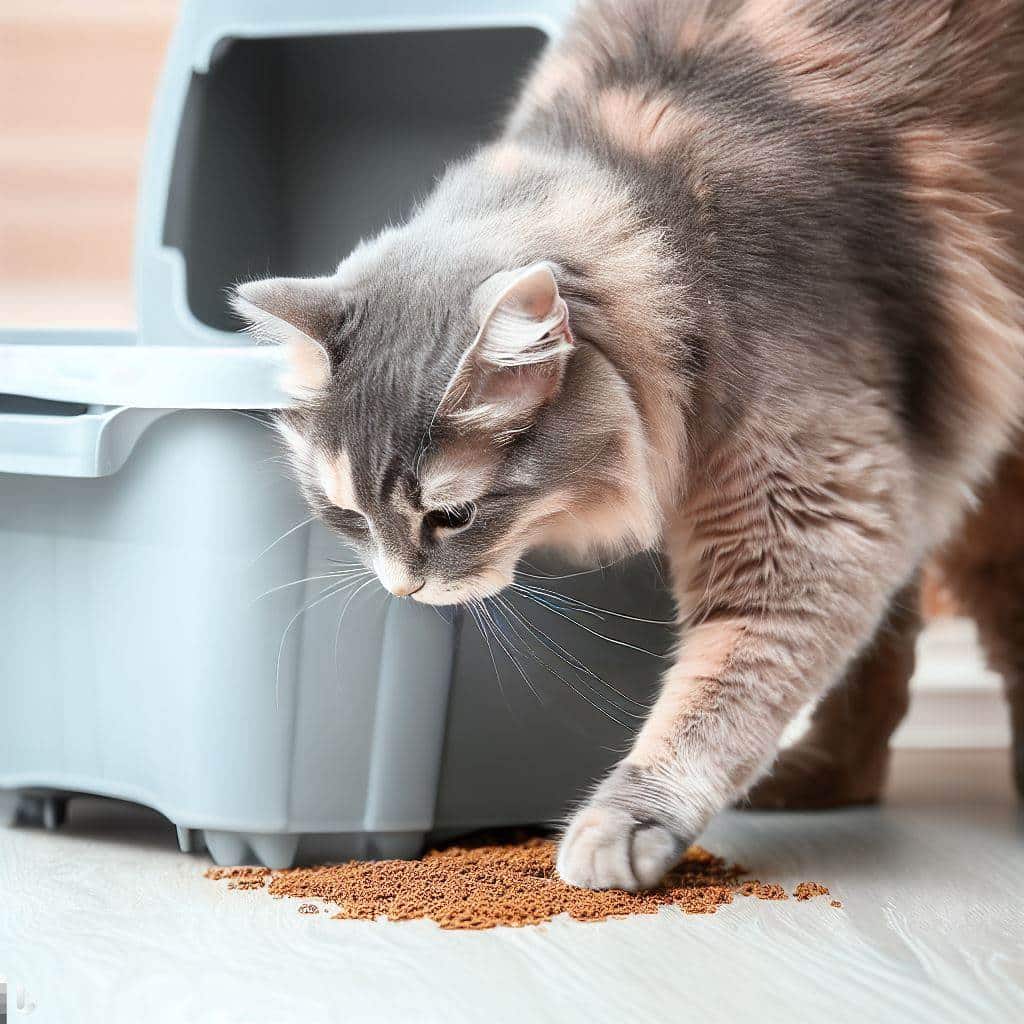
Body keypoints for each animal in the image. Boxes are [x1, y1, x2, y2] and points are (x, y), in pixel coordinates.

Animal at [232, 0, 1024, 892]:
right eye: (347, 516)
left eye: (453, 516)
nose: (403, 590)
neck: (682, 243)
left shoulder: (809, 510)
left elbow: (717, 689)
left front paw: (622, 822)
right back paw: (826, 780)